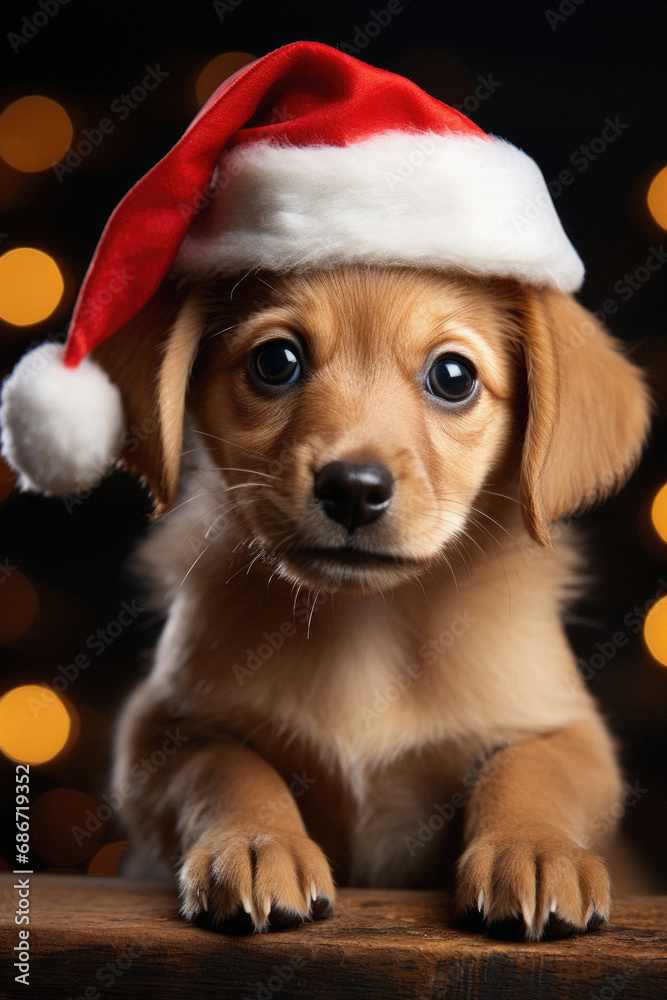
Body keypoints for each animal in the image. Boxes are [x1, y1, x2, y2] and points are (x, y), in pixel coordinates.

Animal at [100, 264, 652, 936]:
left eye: (453, 377)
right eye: (276, 361)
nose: (353, 489)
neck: (367, 619)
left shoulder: (572, 731)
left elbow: (531, 768)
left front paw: (535, 847)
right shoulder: (159, 733)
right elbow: (226, 768)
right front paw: (256, 841)